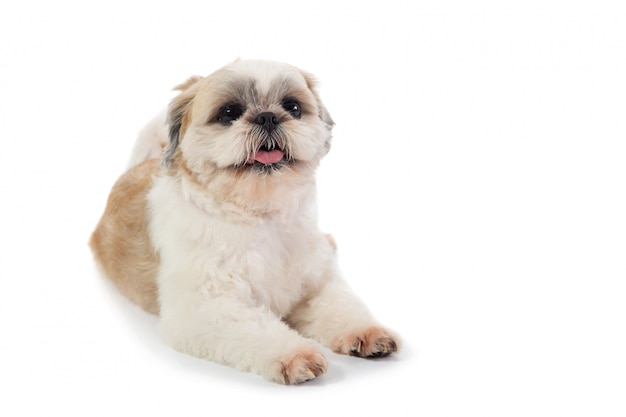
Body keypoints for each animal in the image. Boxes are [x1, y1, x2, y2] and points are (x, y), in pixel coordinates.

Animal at [88, 59, 398, 384]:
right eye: (229, 113)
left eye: (292, 107)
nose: (268, 116)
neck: (259, 216)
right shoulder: (206, 308)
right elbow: (256, 328)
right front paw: (296, 354)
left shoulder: (316, 283)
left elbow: (340, 304)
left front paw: (366, 331)